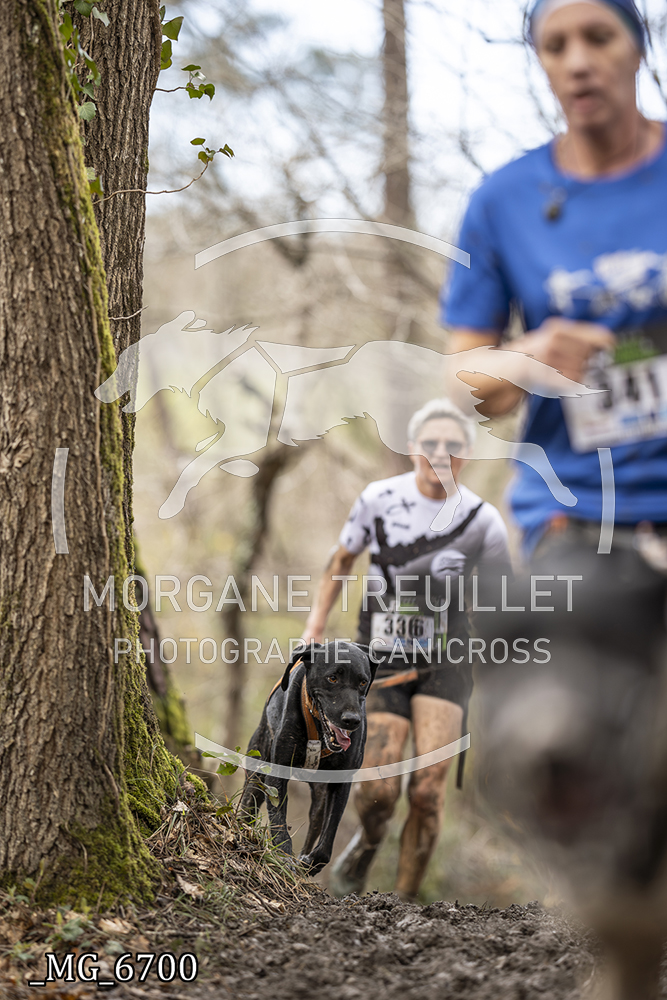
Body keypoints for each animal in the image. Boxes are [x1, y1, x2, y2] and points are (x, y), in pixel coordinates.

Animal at [239, 640, 377, 875]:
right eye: (332, 678)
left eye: (362, 682)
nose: (352, 720)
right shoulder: (277, 773)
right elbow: (278, 818)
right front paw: (283, 855)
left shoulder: (342, 783)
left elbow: (327, 839)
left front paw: (310, 862)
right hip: (257, 769)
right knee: (248, 803)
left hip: (320, 798)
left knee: (316, 823)